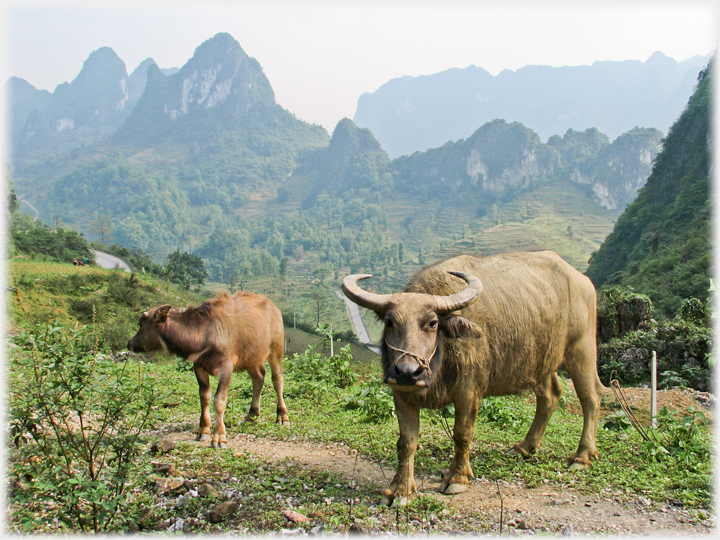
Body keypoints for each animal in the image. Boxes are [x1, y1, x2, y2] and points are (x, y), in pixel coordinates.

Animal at [129, 292, 290, 448]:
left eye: (140, 324)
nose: (130, 343)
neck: (204, 334)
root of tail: (273, 307)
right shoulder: (199, 367)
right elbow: (204, 397)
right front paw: (203, 430)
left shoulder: (226, 368)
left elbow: (219, 401)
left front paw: (219, 437)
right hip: (250, 357)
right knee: (258, 377)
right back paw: (252, 414)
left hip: (276, 350)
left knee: (277, 380)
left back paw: (282, 416)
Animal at [344, 251, 600, 504]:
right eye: (389, 322)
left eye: (432, 323)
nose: (408, 371)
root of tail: (583, 281)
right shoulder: (401, 394)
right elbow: (406, 442)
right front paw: (400, 489)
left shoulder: (469, 391)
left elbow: (462, 434)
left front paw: (457, 478)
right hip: (541, 360)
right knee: (550, 395)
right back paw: (525, 447)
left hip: (582, 350)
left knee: (590, 399)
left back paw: (582, 456)